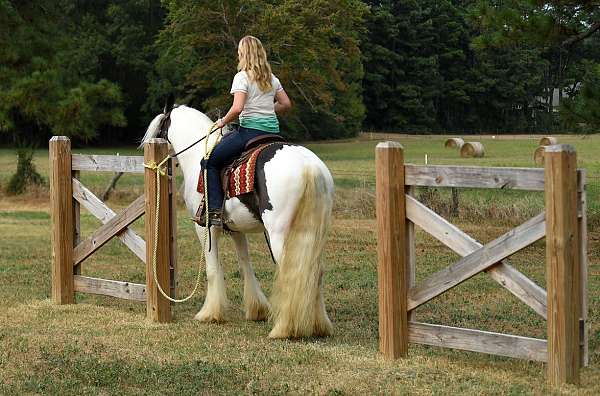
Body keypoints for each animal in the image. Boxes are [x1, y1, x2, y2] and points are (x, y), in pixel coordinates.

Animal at [142, 104, 336, 338]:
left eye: (159, 130)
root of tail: (308, 165)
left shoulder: (204, 228)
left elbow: (212, 269)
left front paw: (209, 314)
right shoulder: (236, 229)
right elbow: (245, 264)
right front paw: (257, 310)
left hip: (280, 235)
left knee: (292, 273)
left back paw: (284, 329)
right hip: (315, 235)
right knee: (315, 273)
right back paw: (319, 325)